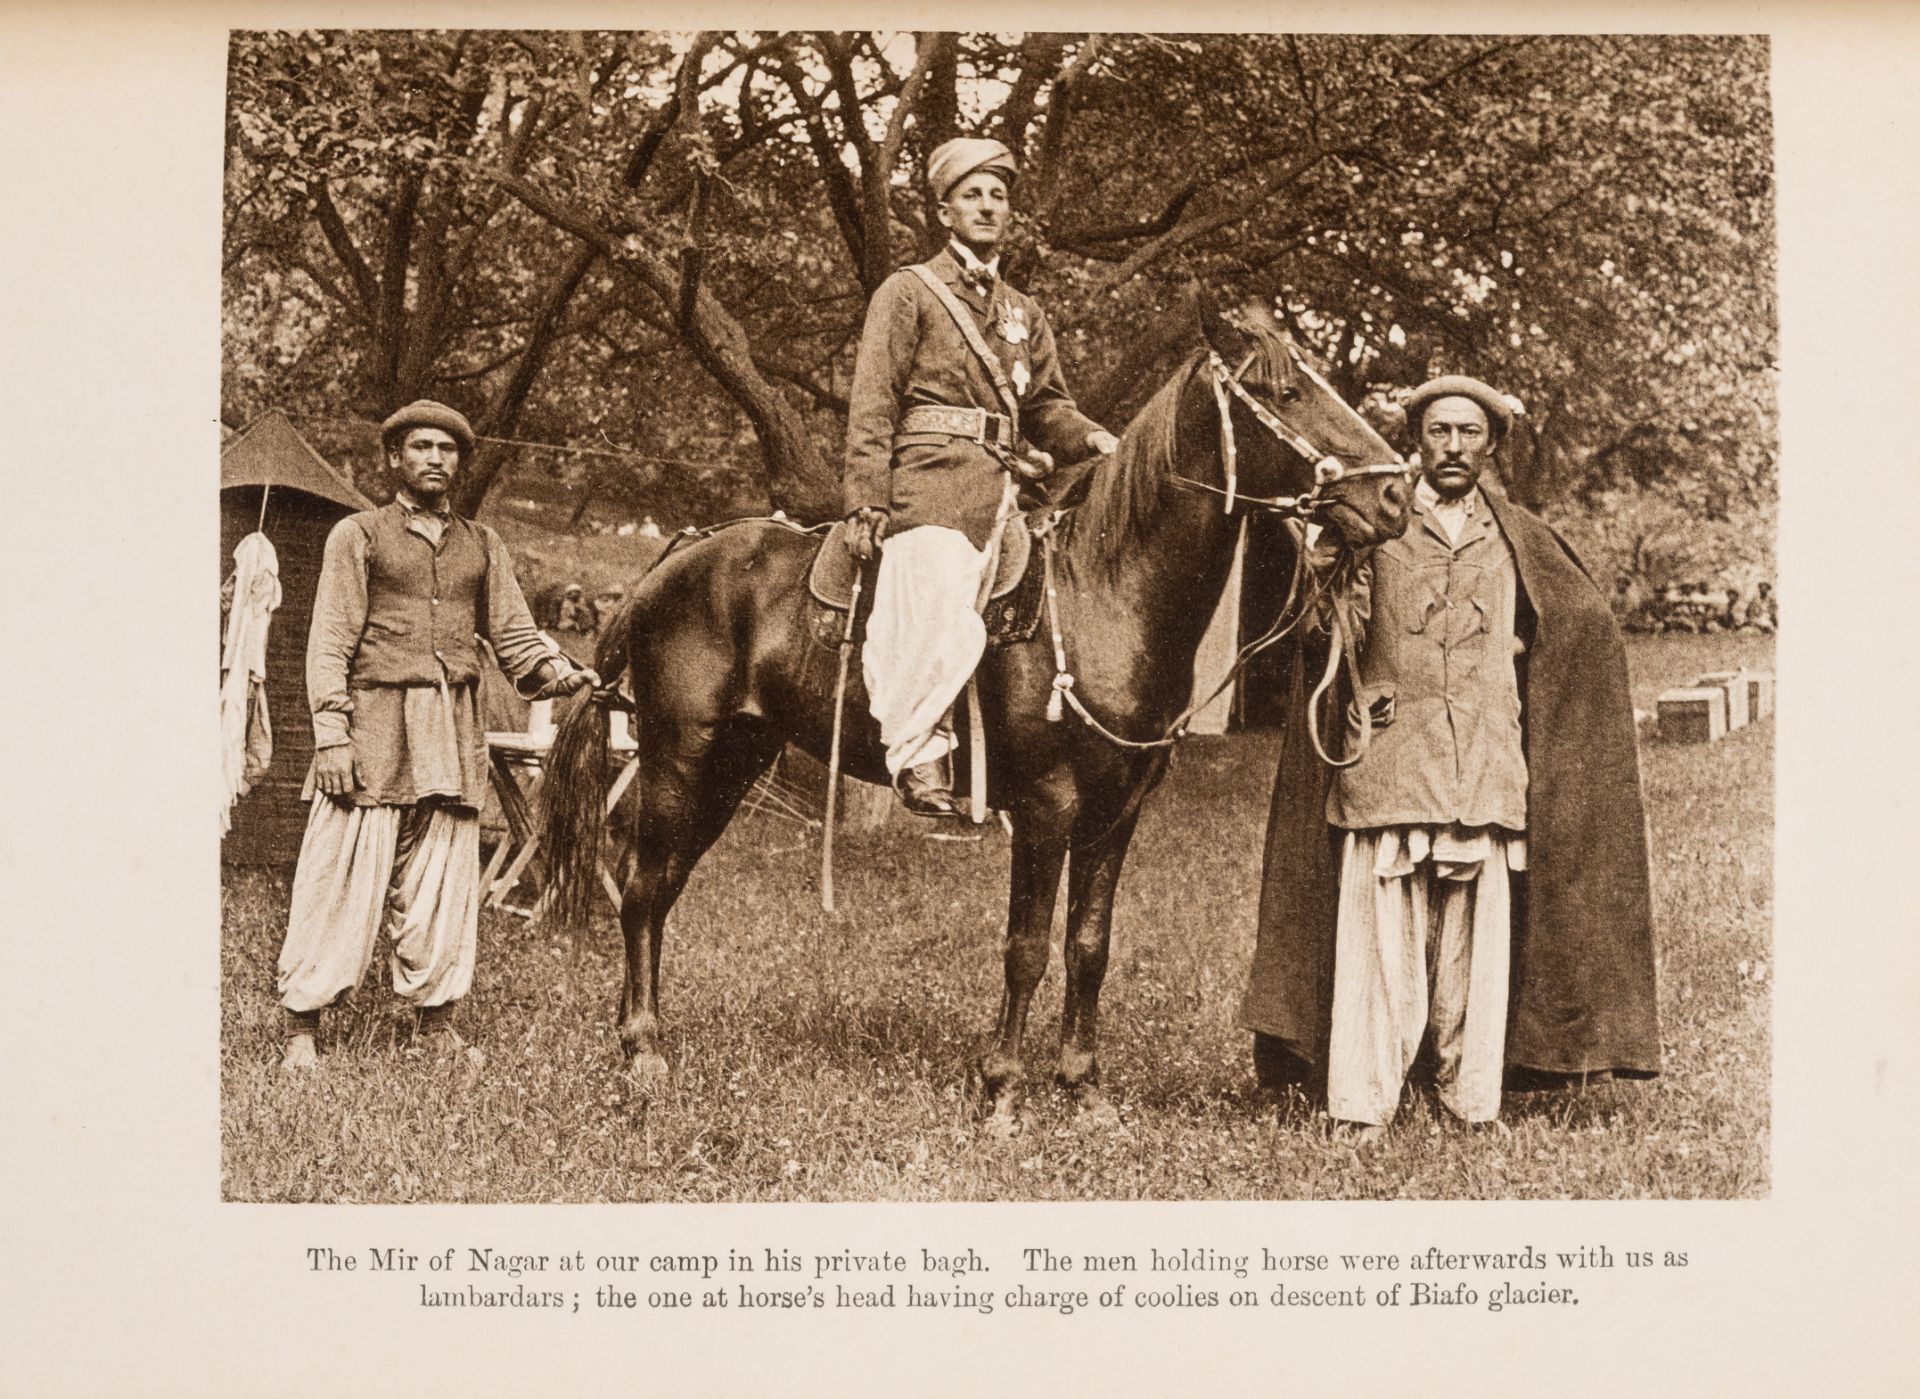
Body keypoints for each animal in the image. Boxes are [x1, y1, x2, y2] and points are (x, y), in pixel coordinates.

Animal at [541, 297, 1413, 1136]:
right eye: (1284, 390)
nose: (1397, 493)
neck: (1101, 595)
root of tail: (680, 555)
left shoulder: (1118, 811)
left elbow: (1089, 946)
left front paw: (1083, 1088)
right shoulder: (1048, 807)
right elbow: (1027, 949)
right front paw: (1001, 1090)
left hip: (732, 765)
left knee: (661, 886)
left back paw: (645, 1034)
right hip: (678, 757)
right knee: (643, 888)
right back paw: (644, 1051)